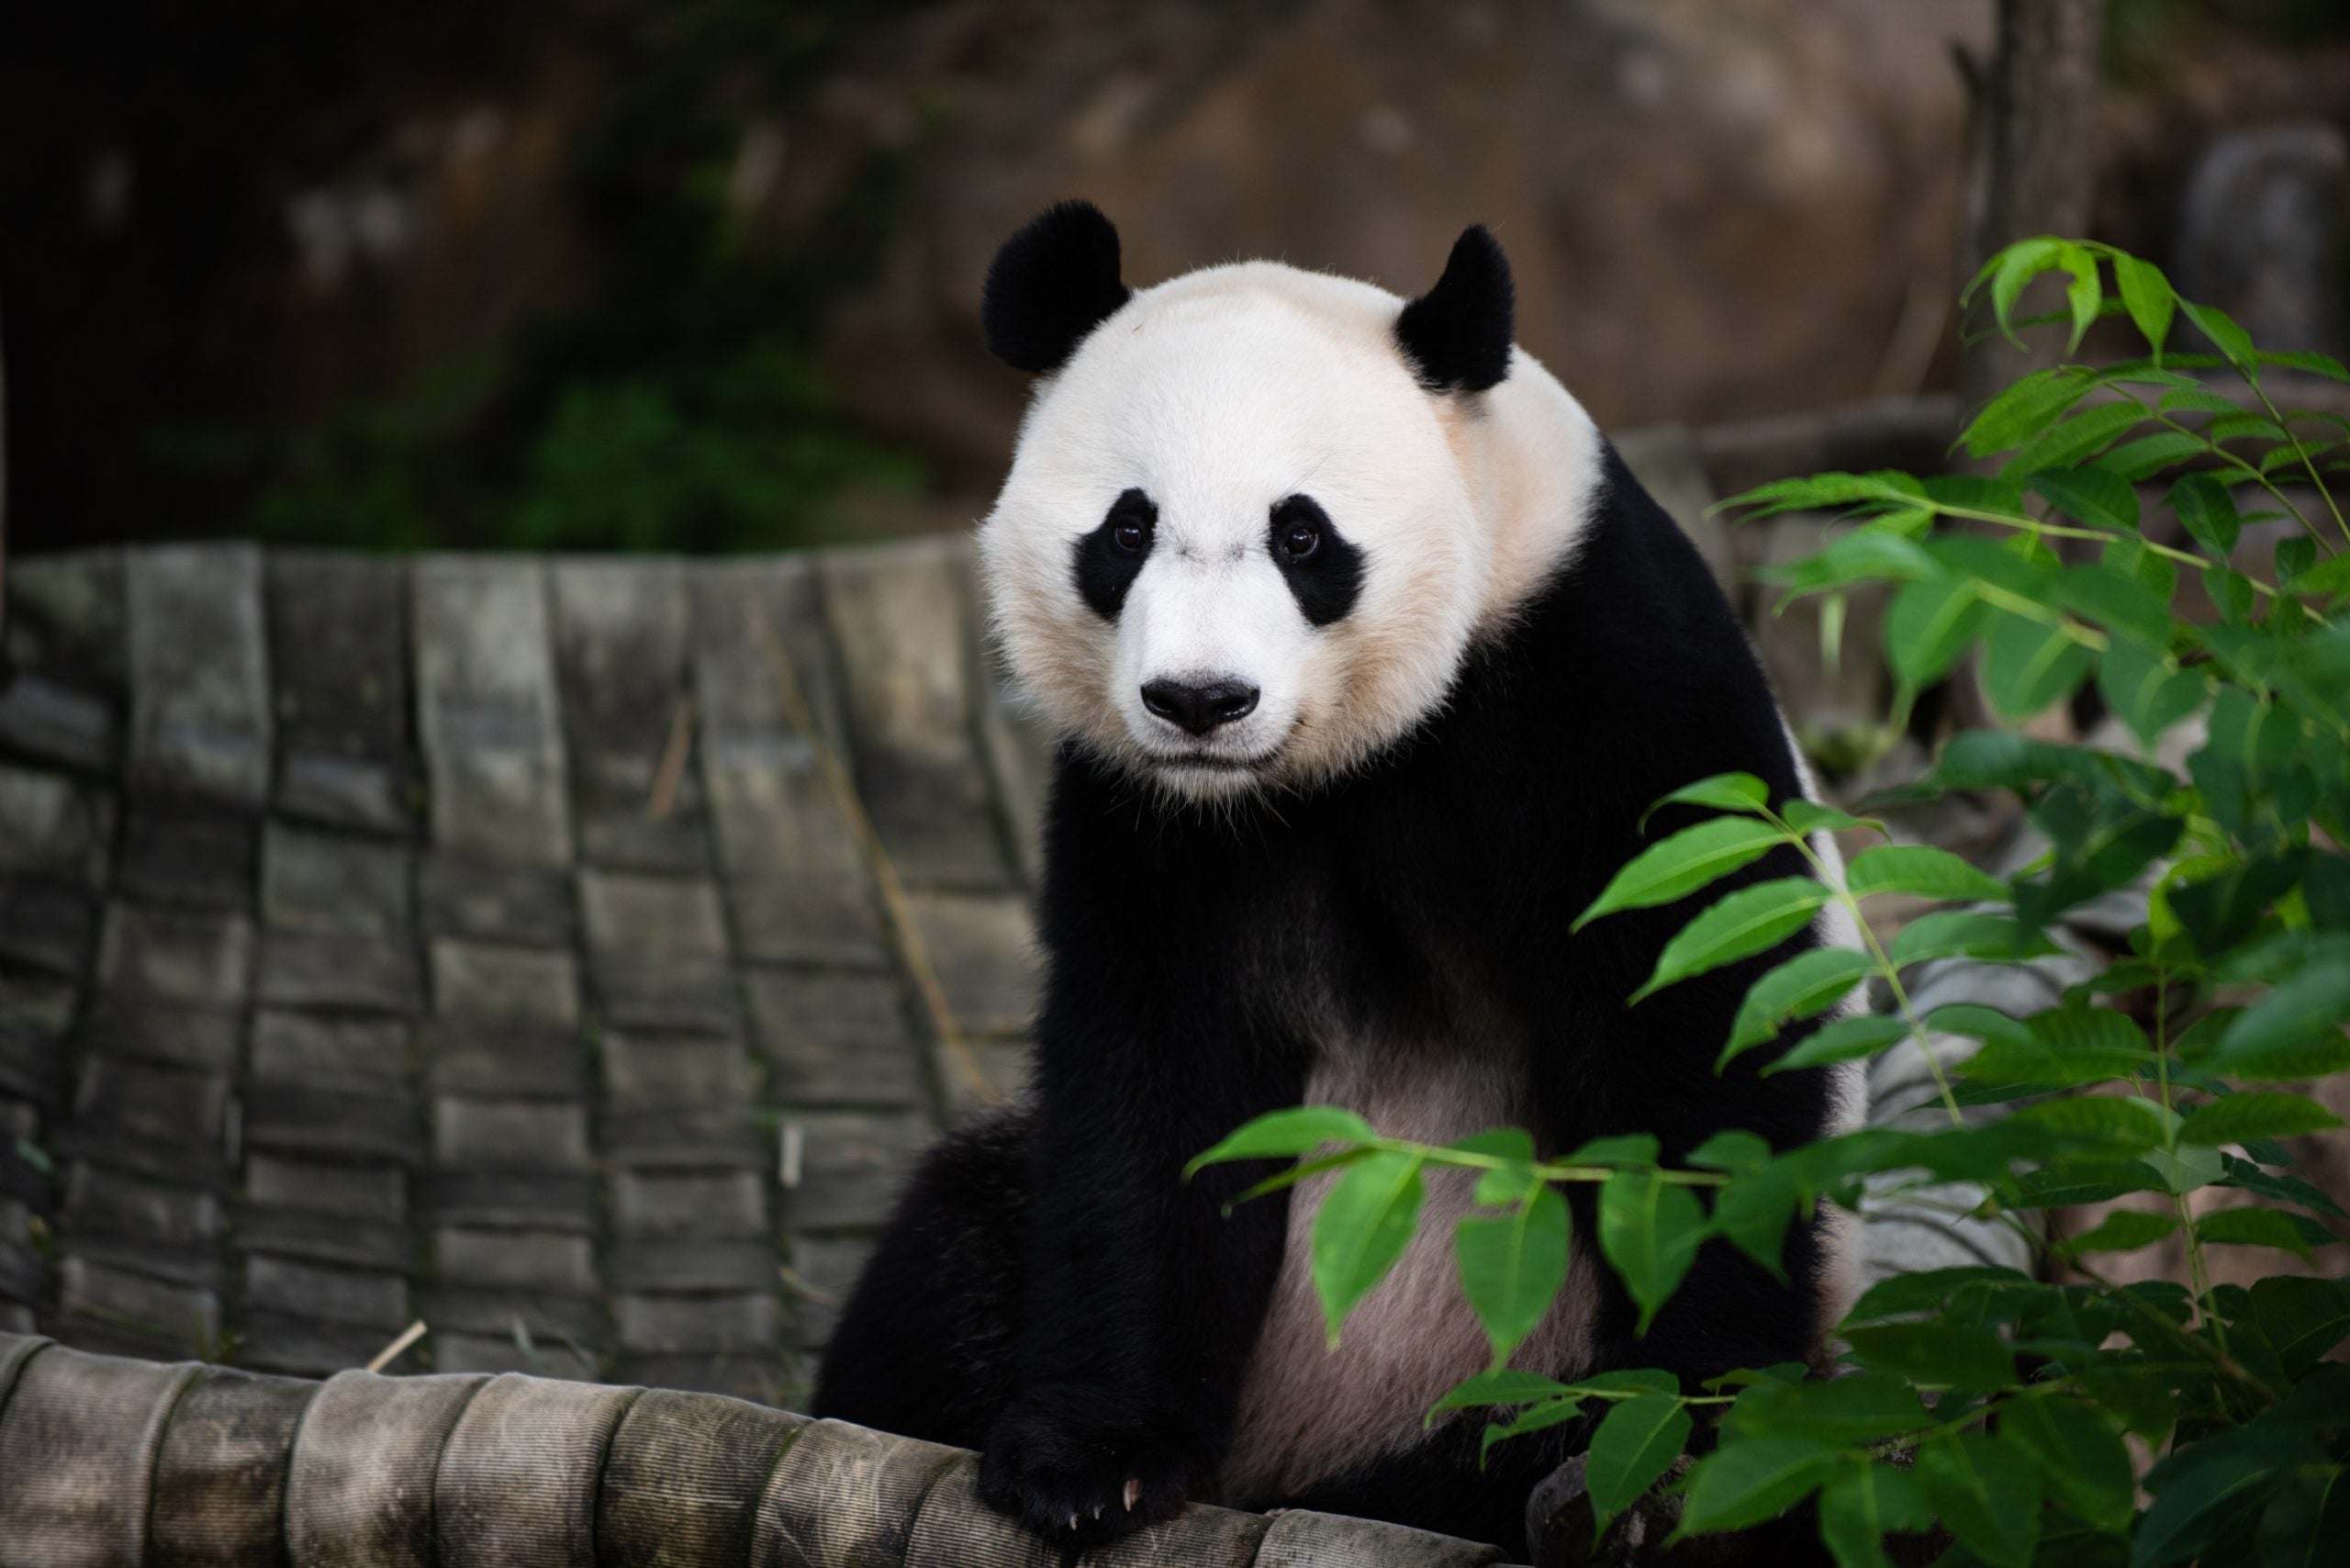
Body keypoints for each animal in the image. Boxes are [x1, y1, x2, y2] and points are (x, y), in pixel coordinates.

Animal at [817, 199, 1861, 1561]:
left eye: (1301, 535)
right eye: (1127, 529)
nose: (1199, 700)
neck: (1341, 760)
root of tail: (1286, 1465)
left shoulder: (1600, 676)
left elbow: (1696, 1030)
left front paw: (1671, 1444)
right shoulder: (1149, 819)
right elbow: (1154, 1094)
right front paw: (1092, 1463)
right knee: (950, 1254)